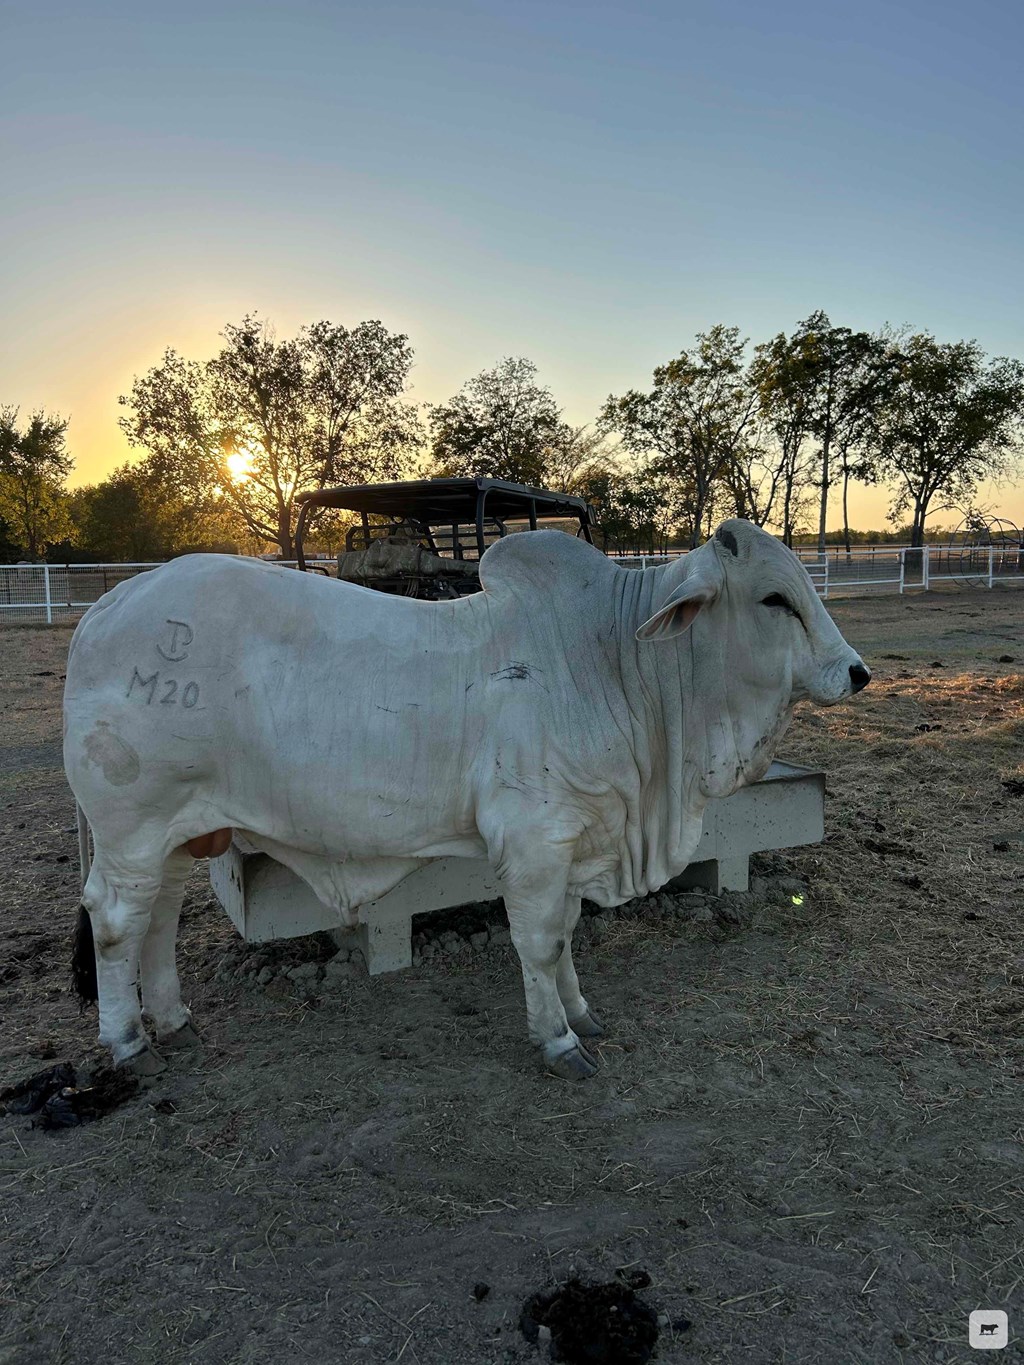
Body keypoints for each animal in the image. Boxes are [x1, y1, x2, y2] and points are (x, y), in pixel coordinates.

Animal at [60, 518, 868, 1075]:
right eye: (775, 599)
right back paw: (128, 1041)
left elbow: (566, 934)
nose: (855, 671)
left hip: (178, 830)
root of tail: (110, 603)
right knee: (116, 920)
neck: (613, 660)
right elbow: (538, 940)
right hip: (132, 827)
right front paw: (558, 1039)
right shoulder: (535, 842)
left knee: (159, 917)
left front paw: (581, 1013)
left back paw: (174, 1019)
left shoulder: (577, 835)